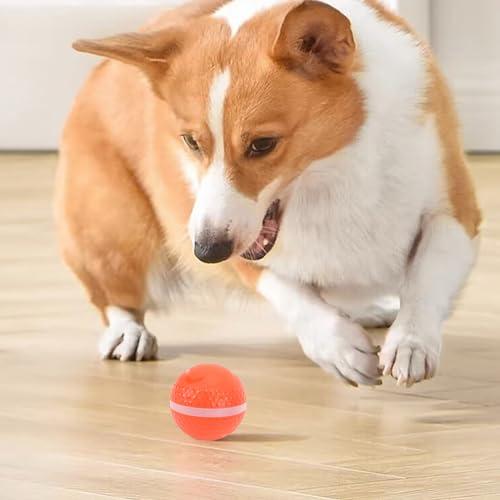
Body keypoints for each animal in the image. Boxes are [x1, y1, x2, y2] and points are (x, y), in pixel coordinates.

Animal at [54, 0, 480, 386]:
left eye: (263, 144)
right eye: (191, 142)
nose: (205, 252)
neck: (332, 169)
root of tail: (95, 75)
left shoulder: (456, 215)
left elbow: (426, 278)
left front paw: (410, 345)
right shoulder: (235, 247)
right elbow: (291, 294)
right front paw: (339, 348)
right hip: (118, 230)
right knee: (114, 297)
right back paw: (127, 333)